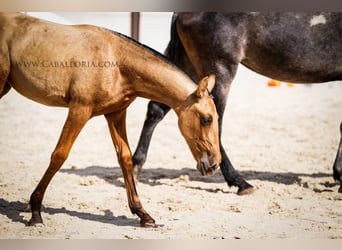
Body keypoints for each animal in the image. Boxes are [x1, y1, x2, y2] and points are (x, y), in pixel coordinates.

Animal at [0, 13, 222, 227]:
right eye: (206, 119)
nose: (214, 164)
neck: (116, 62)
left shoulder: (116, 113)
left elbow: (125, 158)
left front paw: (143, 214)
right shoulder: (79, 110)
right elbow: (59, 155)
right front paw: (35, 211)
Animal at [132, 12, 342, 194]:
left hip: (185, 65)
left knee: (156, 109)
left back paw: (136, 166)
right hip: (220, 71)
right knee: (217, 124)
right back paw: (238, 181)